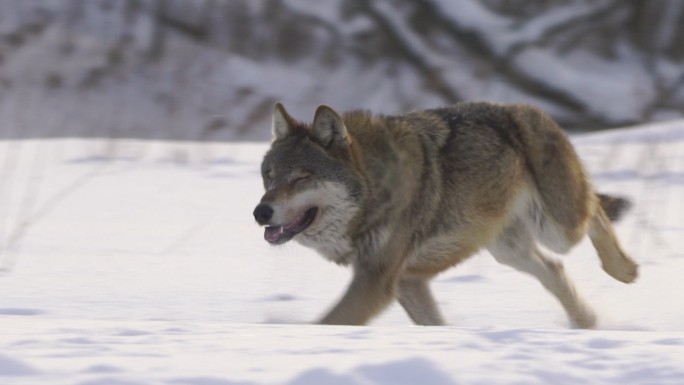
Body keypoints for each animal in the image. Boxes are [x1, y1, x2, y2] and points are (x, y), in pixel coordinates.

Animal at [254, 101, 640, 328]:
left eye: (301, 178)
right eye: (269, 177)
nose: (260, 212)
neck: (377, 186)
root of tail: (530, 108)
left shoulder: (376, 281)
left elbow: (329, 322)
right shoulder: (406, 282)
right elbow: (434, 323)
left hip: (557, 229)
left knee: (594, 213)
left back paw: (623, 270)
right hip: (509, 251)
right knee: (555, 269)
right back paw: (586, 323)